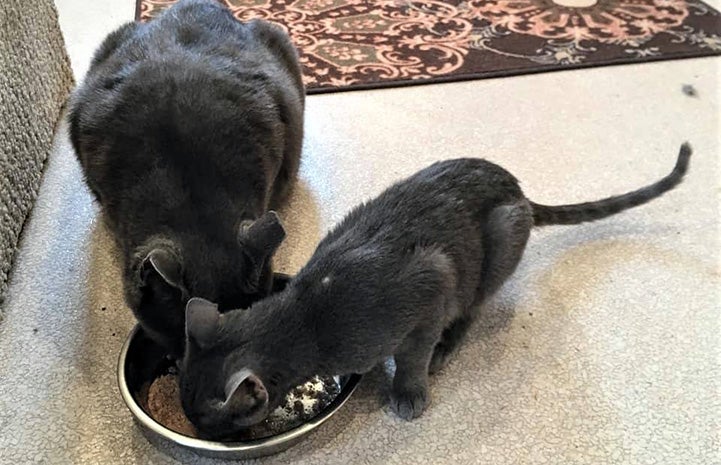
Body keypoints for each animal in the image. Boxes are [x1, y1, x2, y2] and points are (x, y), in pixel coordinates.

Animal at [177, 143, 688, 436]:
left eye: (203, 418)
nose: (196, 430)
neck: (307, 316)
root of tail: (520, 190)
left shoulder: (430, 284)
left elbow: (412, 355)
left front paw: (409, 391)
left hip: (495, 247)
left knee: (471, 310)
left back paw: (447, 347)